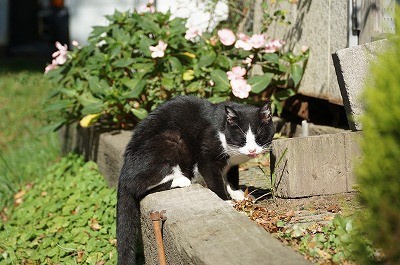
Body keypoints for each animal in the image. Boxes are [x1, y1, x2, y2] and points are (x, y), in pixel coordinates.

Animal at [116, 96, 276, 262]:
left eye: (259, 137)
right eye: (241, 138)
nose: (252, 150)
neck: (223, 129)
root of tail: (125, 168)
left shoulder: (231, 164)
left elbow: (230, 177)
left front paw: (238, 194)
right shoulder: (207, 158)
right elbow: (216, 180)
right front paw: (226, 201)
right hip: (170, 141)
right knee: (137, 185)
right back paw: (182, 180)